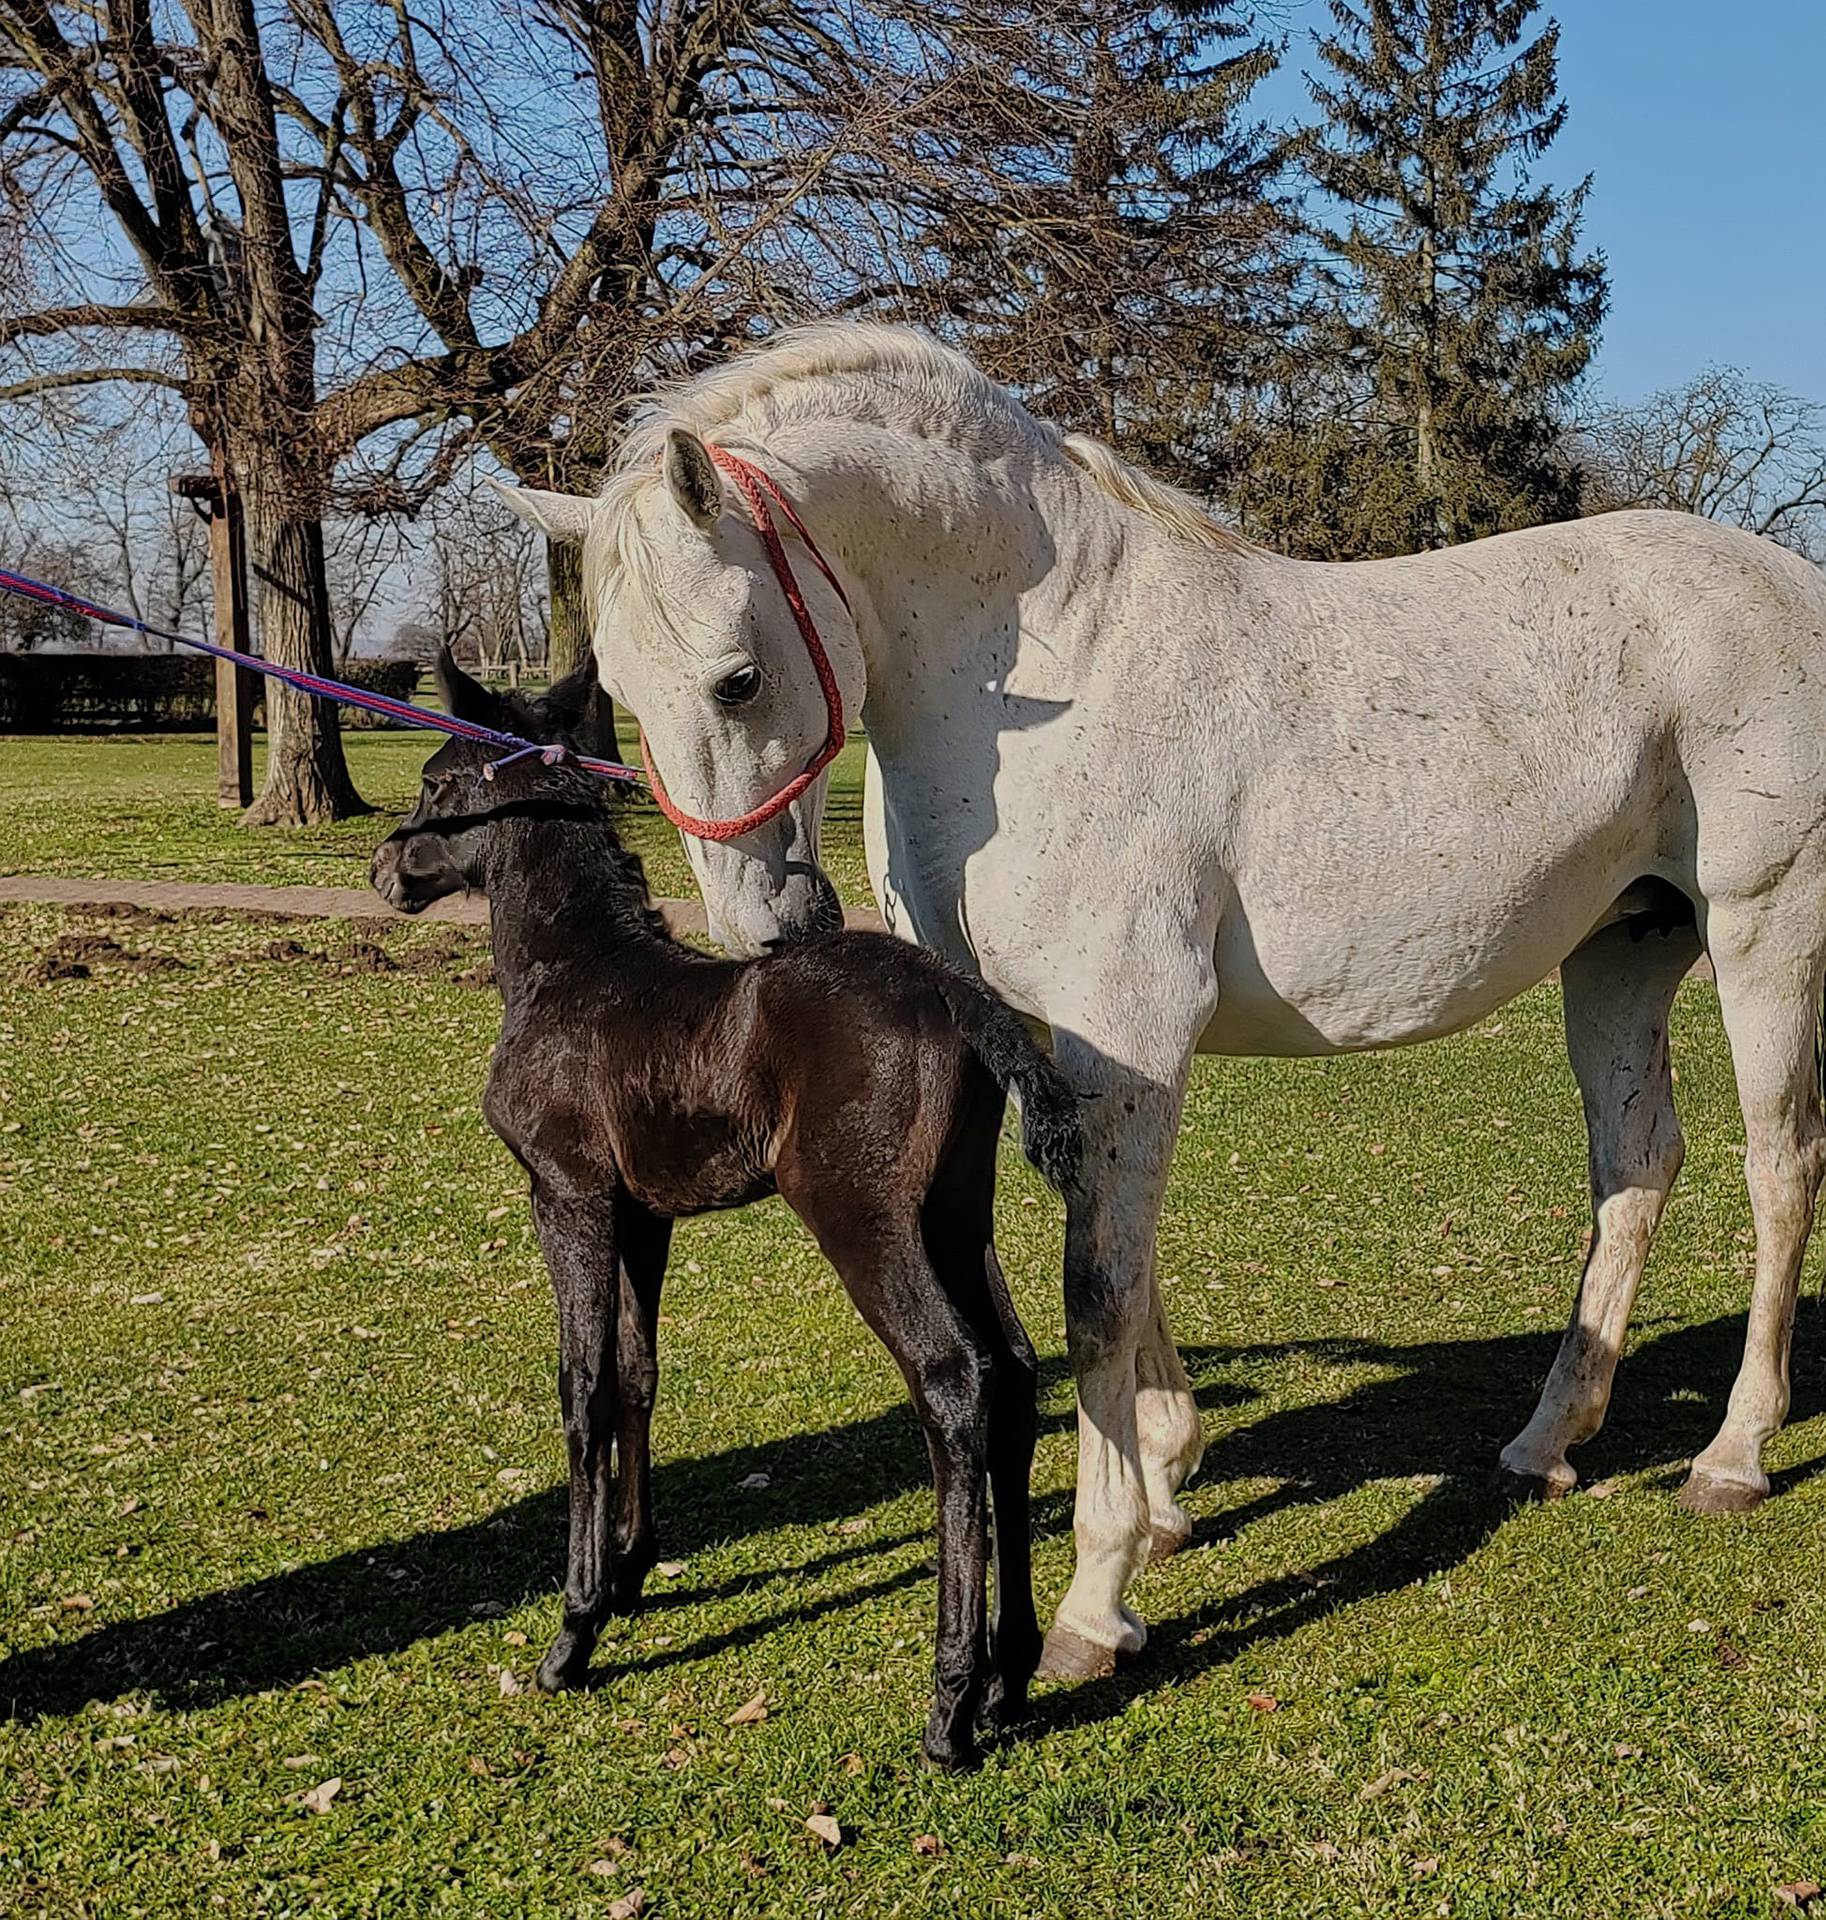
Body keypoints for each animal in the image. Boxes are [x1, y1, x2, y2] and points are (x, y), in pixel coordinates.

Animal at [374, 652, 1082, 1758]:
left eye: (438, 785)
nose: (387, 870)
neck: (571, 973)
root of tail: (953, 992)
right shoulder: (643, 1214)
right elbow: (636, 1373)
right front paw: (630, 1570)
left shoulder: (566, 1196)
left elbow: (581, 1387)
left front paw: (573, 1630)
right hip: (956, 1215)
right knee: (1010, 1372)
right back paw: (1009, 1675)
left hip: (862, 1218)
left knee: (953, 1378)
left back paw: (950, 1700)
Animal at [499, 330, 1826, 1681]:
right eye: (619, 691)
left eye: (737, 679)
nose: (764, 931)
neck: (1053, 681)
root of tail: (1789, 585)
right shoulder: (1040, 1048)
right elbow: (1113, 1267)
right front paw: (1168, 1474)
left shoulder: (1127, 1036)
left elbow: (1094, 1291)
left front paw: (1096, 1597)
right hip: (1618, 954)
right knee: (1635, 1168)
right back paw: (1544, 1440)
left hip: (1761, 931)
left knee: (1779, 1163)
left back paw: (1729, 1456)